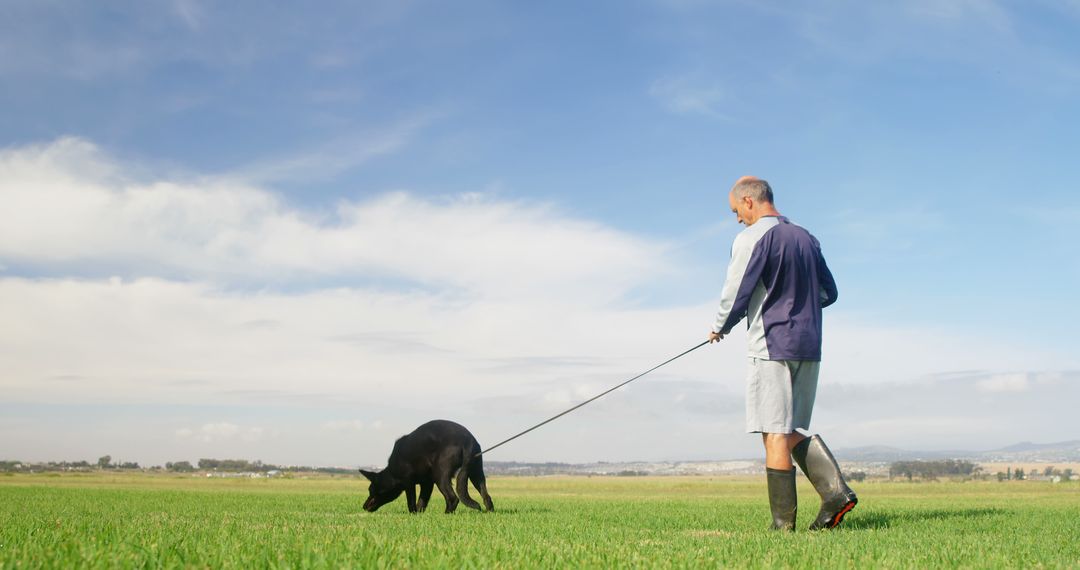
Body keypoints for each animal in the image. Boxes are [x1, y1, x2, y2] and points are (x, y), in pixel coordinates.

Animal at [362, 421, 496, 513]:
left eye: (371, 491)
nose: (364, 506)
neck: (392, 472)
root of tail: (467, 439)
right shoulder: (427, 484)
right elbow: (422, 501)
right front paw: (419, 514)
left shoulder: (409, 483)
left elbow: (411, 502)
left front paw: (413, 514)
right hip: (476, 473)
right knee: (486, 496)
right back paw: (489, 511)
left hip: (440, 475)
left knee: (453, 498)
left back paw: (446, 514)